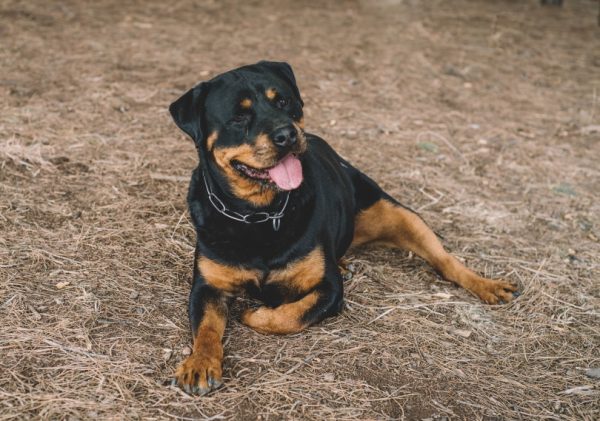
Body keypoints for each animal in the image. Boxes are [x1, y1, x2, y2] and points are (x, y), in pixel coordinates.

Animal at [166, 61, 516, 394]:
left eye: (284, 102)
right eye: (239, 117)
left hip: (399, 214)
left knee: (445, 260)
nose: (287, 134)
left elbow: (291, 315)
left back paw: (488, 285)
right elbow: (206, 329)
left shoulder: (329, 289)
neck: (260, 214)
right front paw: (200, 363)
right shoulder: (207, 287)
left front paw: (255, 315)